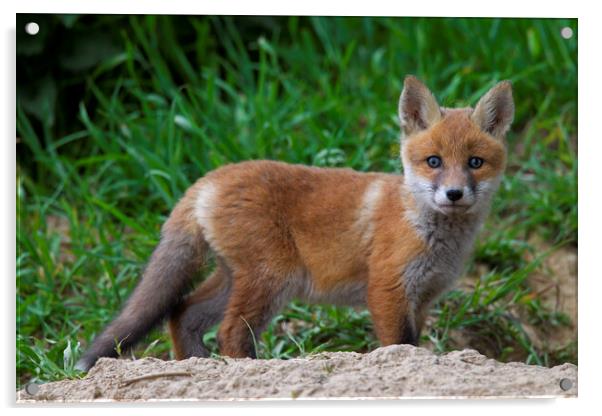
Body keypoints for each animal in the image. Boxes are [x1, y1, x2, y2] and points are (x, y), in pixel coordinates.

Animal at [75, 75, 512, 370]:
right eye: (434, 161)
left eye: (475, 162)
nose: (453, 194)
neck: (431, 234)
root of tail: (207, 179)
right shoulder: (388, 290)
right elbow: (399, 346)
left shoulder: (421, 298)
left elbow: (414, 344)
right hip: (272, 277)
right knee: (230, 331)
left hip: (236, 278)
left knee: (181, 313)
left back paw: (201, 368)